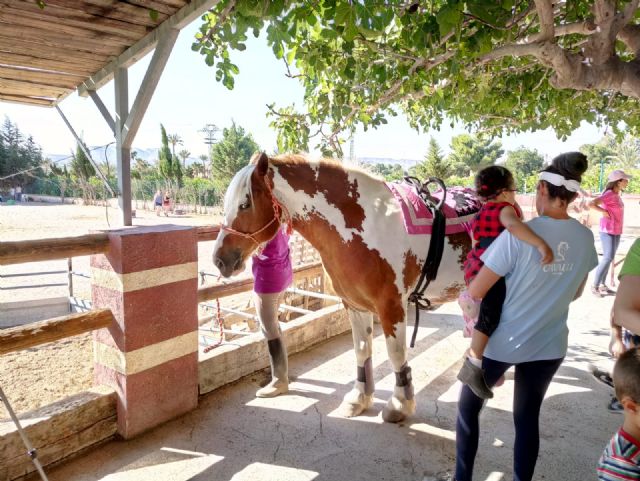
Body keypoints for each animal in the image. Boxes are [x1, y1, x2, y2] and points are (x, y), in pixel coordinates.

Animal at [212, 152, 478, 423]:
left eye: (245, 204)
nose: (219, 259)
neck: (365, 224)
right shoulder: (354, 304)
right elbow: (361, 350)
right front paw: (358, 399)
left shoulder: (391, 306)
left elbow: (396, 353)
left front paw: (399, 404)